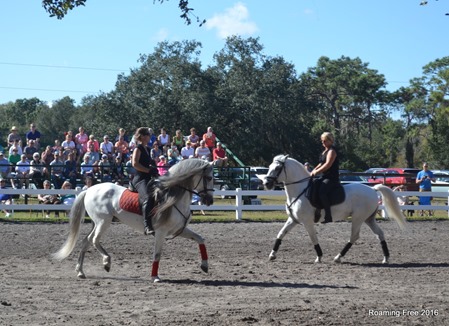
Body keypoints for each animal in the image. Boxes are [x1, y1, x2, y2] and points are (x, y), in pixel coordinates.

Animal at [52, 159, 214, 282]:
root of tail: (89, 189)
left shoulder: (179, 229)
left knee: (86, 241)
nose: (210, 201)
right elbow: (157, 254)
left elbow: (200, 238)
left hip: (97, 223)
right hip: (103, 222)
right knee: (94, 240)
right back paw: (106, 262)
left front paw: (205, 266)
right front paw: (155, 277)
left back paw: (80, 271)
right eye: (209, 178)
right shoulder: (161, 232)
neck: (173, 198)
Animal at [262, 155, 406, 264]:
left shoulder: (307, 221)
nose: (266, 184)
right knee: (379, 234)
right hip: (368, 219)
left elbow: (313, 237)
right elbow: (281, 234)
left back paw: (338, 257)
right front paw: (272, 255)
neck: (300, 190)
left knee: (354, 236)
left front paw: (319, 257)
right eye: (269, 167)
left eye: (278, 168)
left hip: (358, 218)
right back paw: (386, 258)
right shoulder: (293, 219)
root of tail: (372, 189)